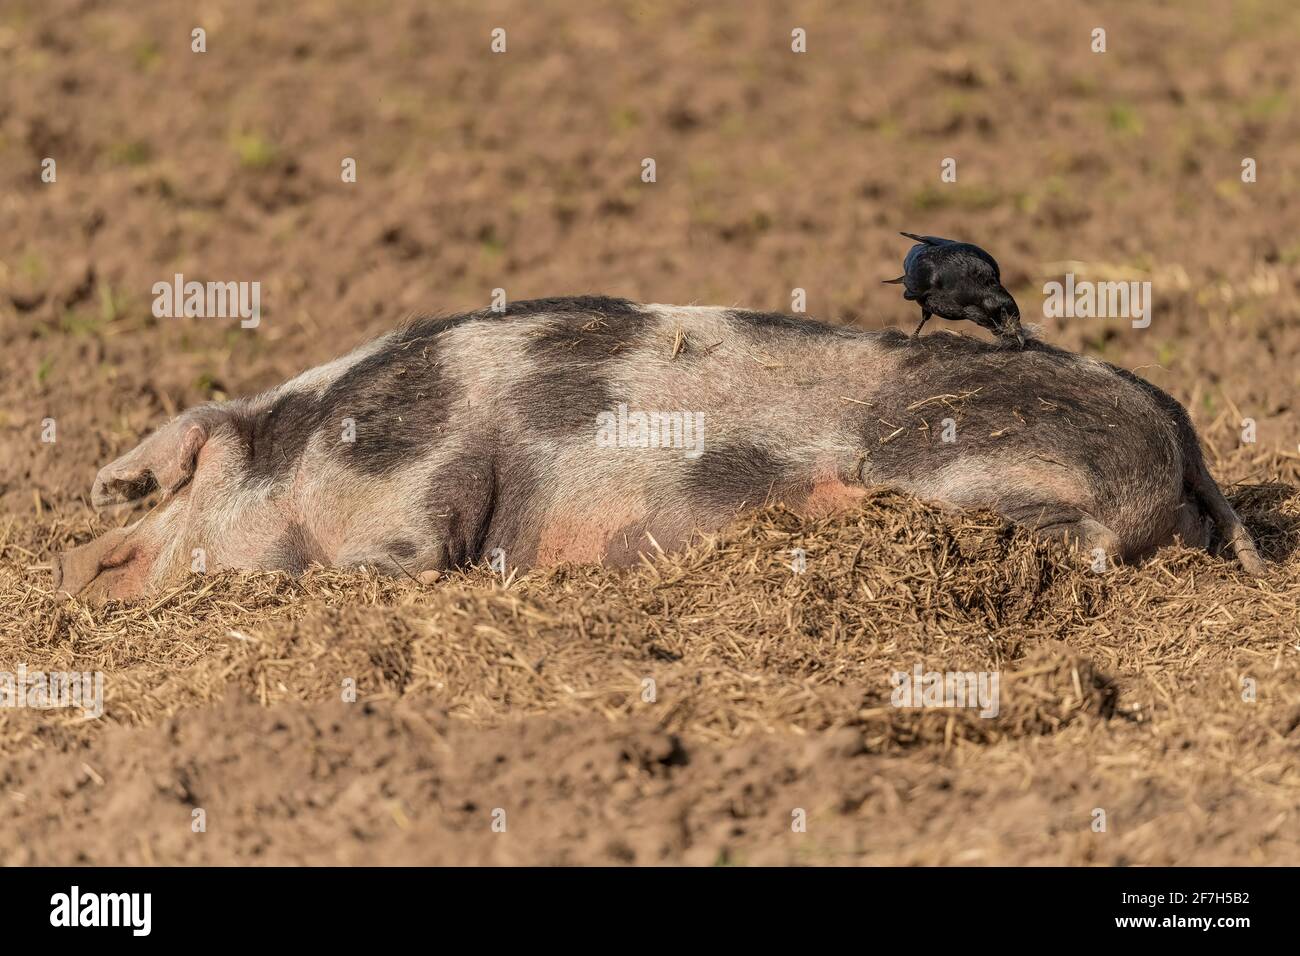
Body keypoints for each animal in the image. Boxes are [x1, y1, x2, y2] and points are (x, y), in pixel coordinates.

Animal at [53, 296, 1265, 602]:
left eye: (185, 477)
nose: (73, 564)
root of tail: (1174, 424)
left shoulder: (422, 482)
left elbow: (405, 558)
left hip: (960, 456)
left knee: (1081, 547)